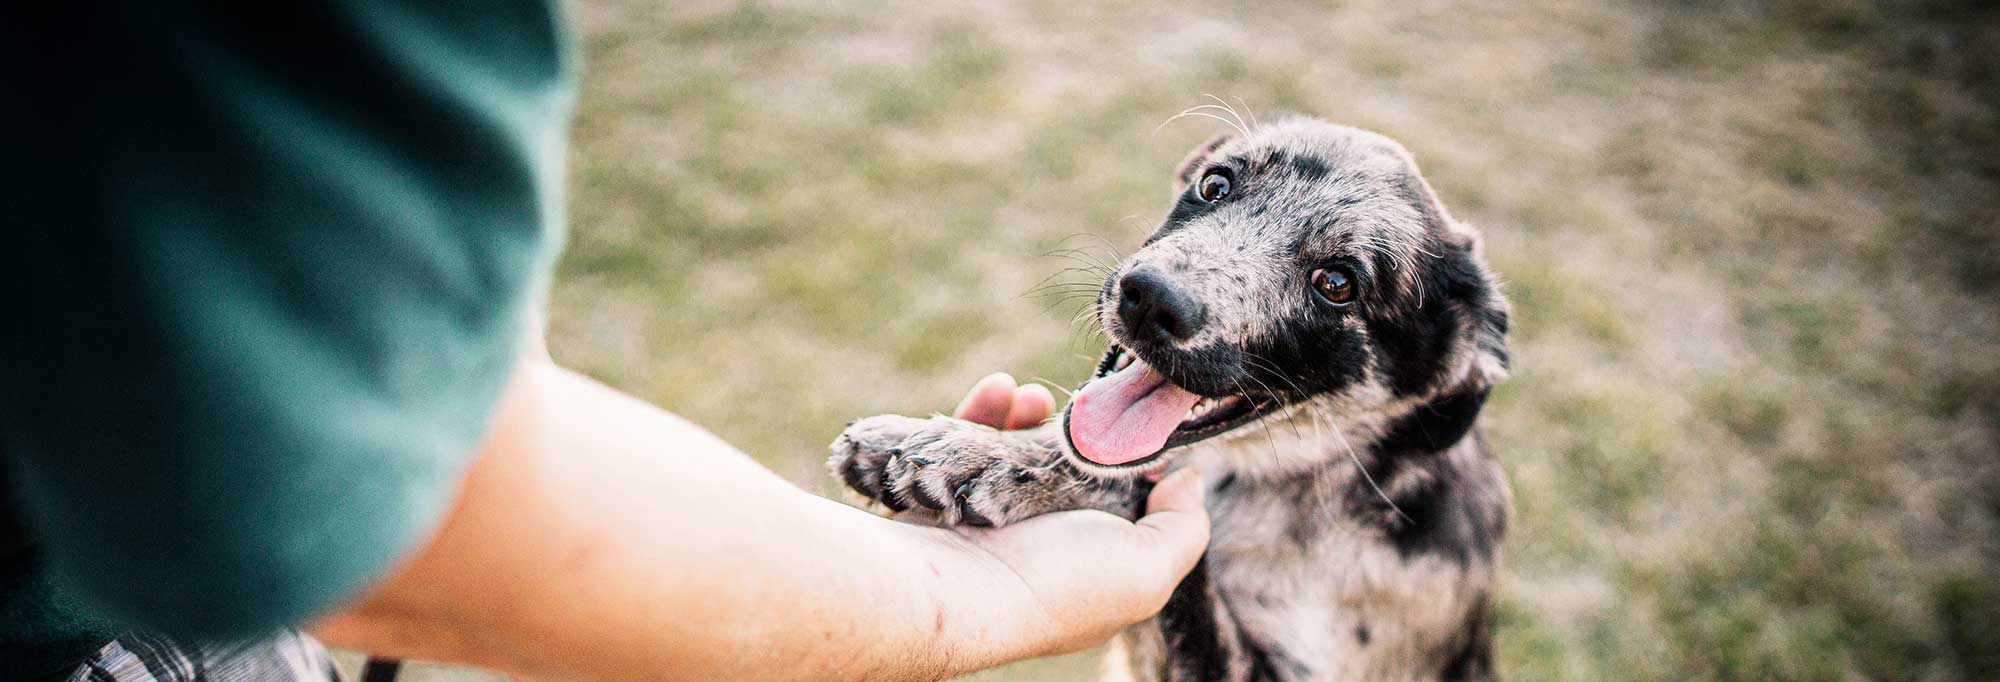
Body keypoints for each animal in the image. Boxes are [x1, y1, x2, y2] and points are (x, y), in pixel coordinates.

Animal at [828, 115, 1512, 680]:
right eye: (1215, 185)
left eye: (1337, 283)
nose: (1150, 297)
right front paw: (912, 441)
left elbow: (1139, 490)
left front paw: (985, 458)